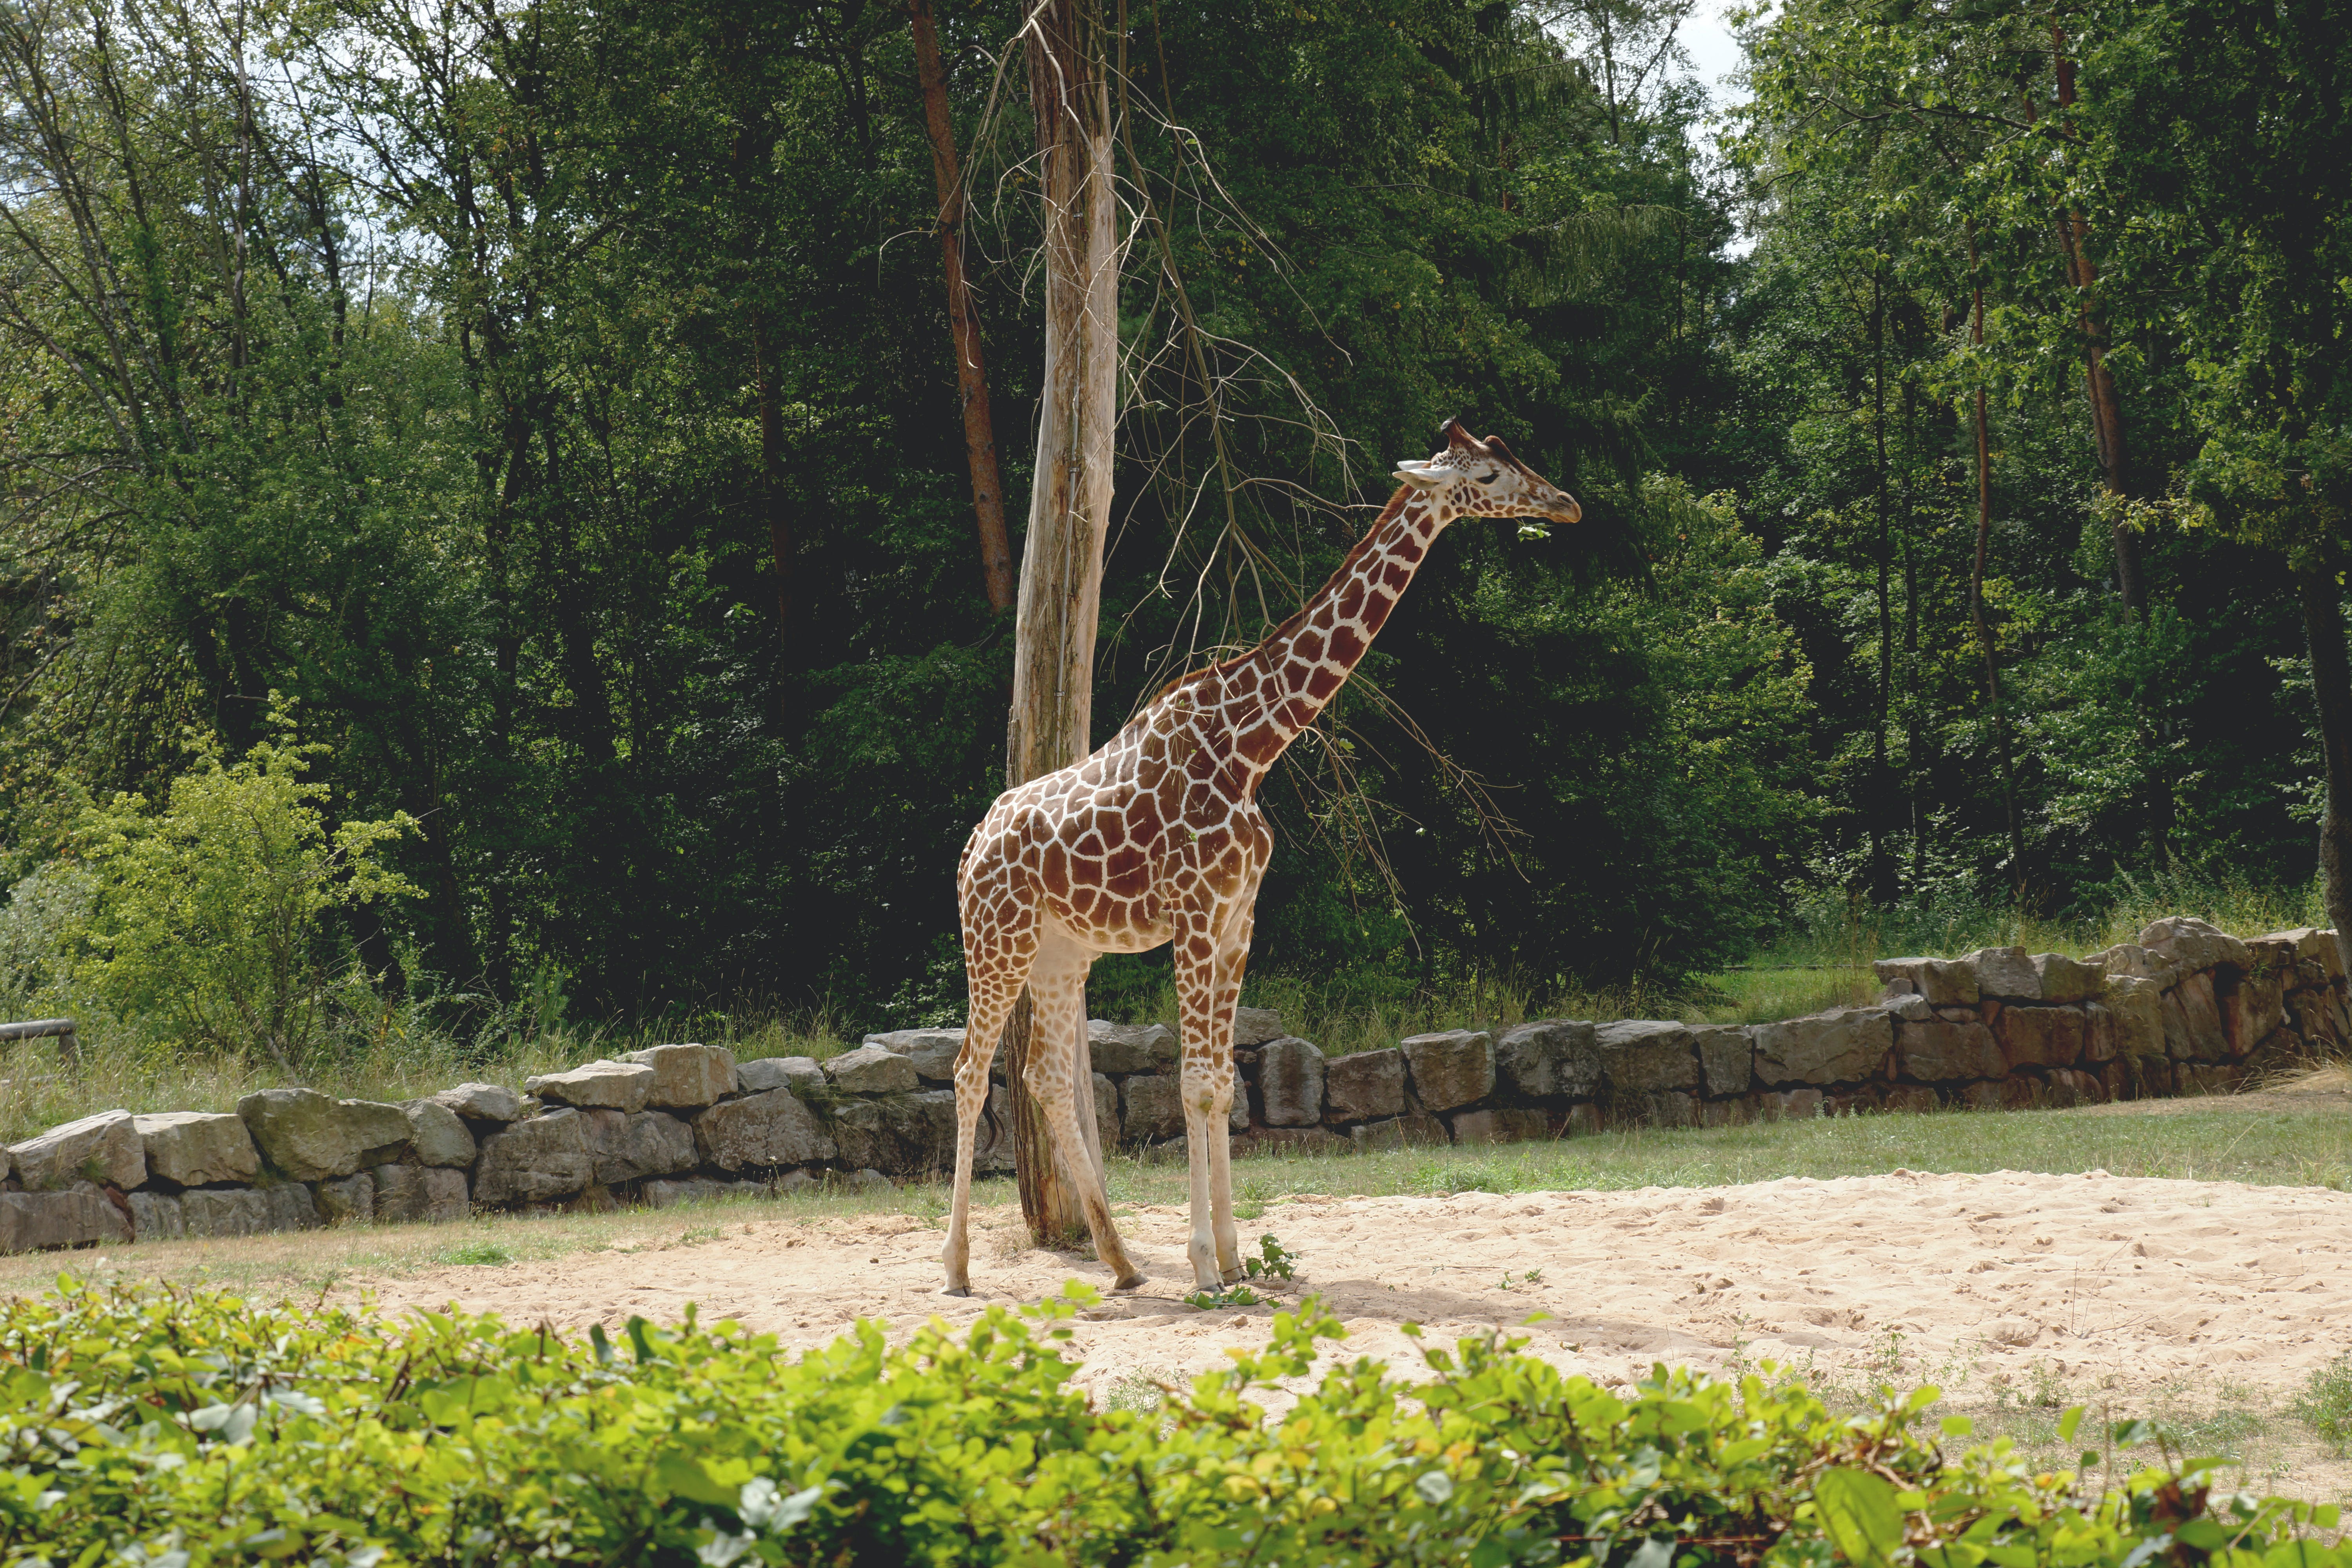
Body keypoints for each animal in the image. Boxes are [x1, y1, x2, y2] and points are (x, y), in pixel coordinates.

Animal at [941, 416, 1581, 1288]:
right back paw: (958, 1267)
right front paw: (1206, 1267)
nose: (1566, 503)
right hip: (995, 940)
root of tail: (973, 844)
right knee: (970, 1072)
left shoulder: (1240, 916)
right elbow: (1193, 1082)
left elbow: (1220, 1085)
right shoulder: (1195, 914)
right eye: (1486, 474)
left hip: (1062, 950)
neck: (1254, 747)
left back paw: (1122, 1260)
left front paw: (1235, 1257)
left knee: (1043, 1073)